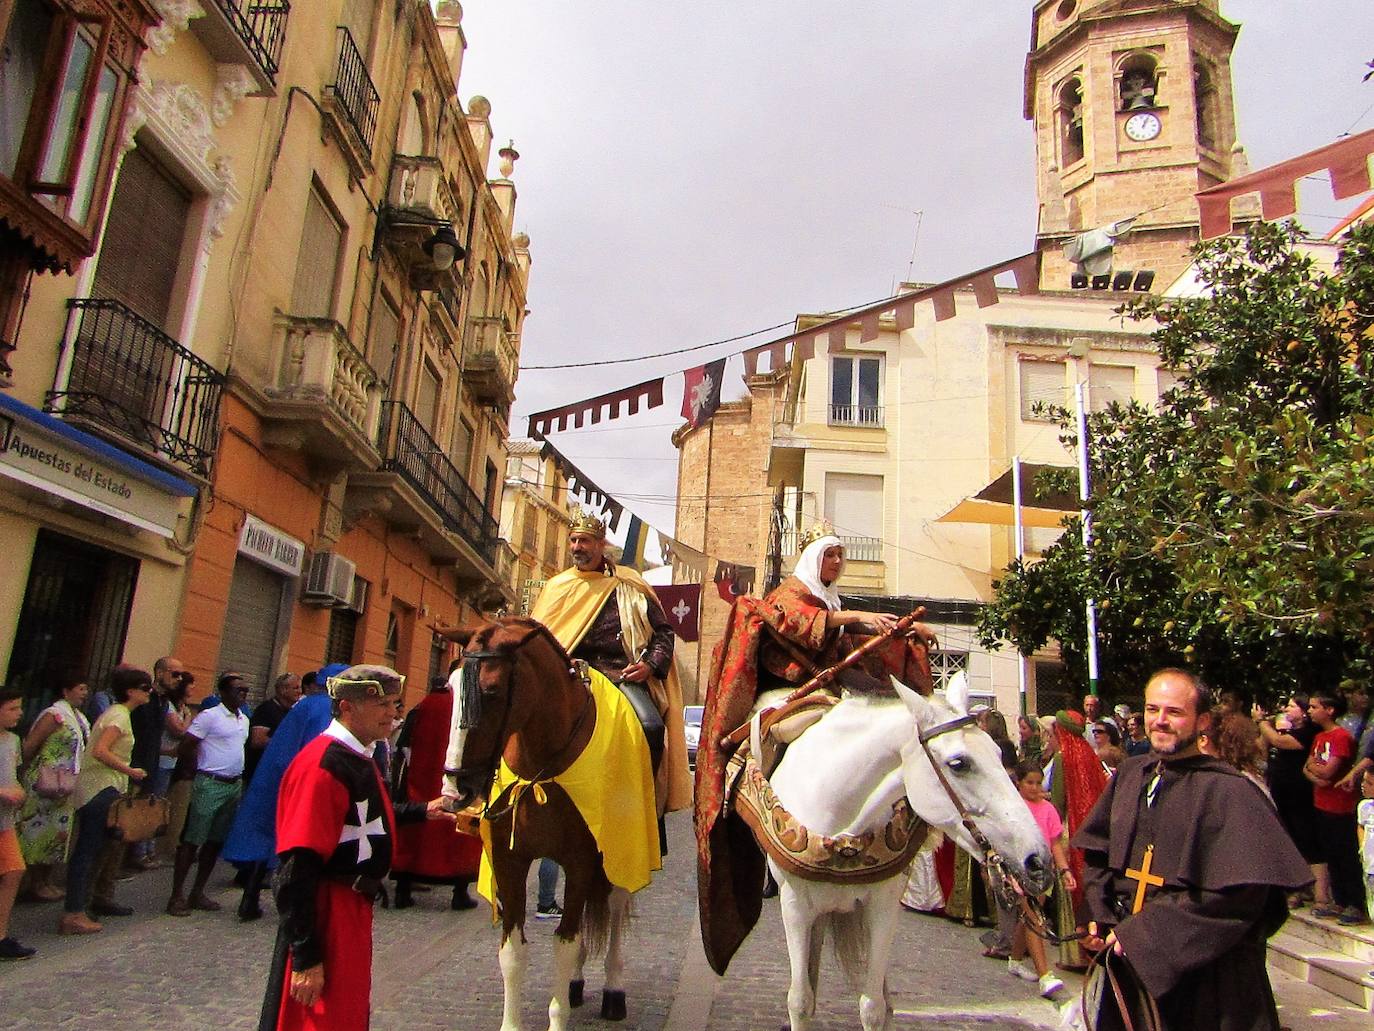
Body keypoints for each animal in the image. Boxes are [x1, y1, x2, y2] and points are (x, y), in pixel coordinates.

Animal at [442, 618, 651, 1028]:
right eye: (450, 688)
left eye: (491, 692)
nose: (456, 785)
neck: (540, 766)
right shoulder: (509, 861)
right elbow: (513, 951)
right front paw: (513, 1021)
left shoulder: (583, 859)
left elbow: (565, 941)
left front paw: (559, 1015)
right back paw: (574, 985)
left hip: (619, 852)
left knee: (614, 906)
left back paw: (613, 990)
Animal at [763, 679, 1049, 1031]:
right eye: (959, 763)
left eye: (998, 753)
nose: (1038, 861)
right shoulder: (795, 906)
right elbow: (800, 1002)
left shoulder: (883, 907)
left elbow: (873, 1006)